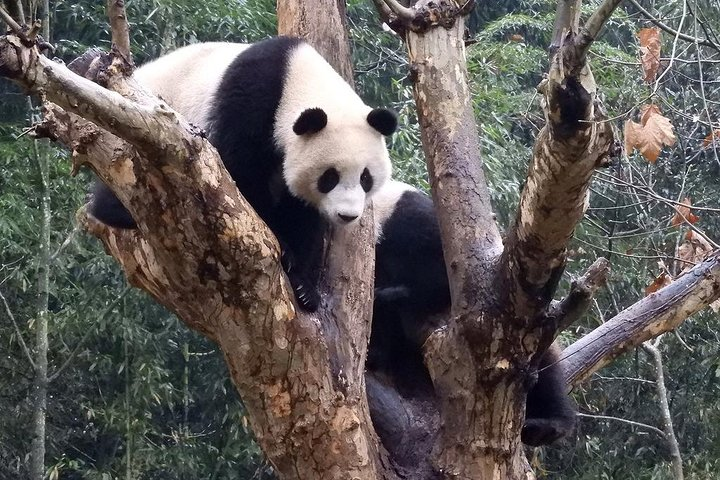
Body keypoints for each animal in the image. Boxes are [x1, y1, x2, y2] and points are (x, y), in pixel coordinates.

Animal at [88, 37, 400, 312]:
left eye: (365, 178)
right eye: (330, 177)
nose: (347, 215)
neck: (296, 78)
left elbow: (301, 212)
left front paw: (304, 287)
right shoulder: (251, 98)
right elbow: (238, 174)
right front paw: (282, 247)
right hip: (133, 133)